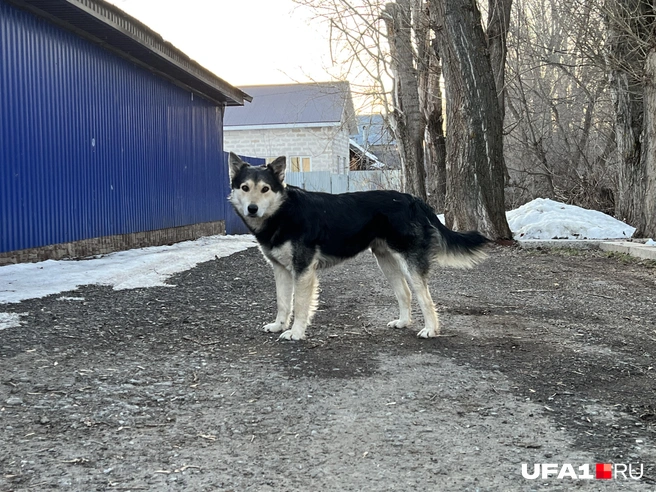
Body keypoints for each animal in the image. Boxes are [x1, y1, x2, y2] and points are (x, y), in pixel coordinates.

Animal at [227, 154, 486, 342]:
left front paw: (296, 332)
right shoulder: (280, 269)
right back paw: (403, 322)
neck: (283, 212)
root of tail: (413, 200)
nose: (252, 209)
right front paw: (278, 325)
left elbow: (299, 305)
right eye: (245, 187)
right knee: (405, 293)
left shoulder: (303, 270)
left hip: (409, 261)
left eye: (265, 189)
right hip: (386, 261)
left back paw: (431, 329)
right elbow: (283, 302)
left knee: (425, 298)